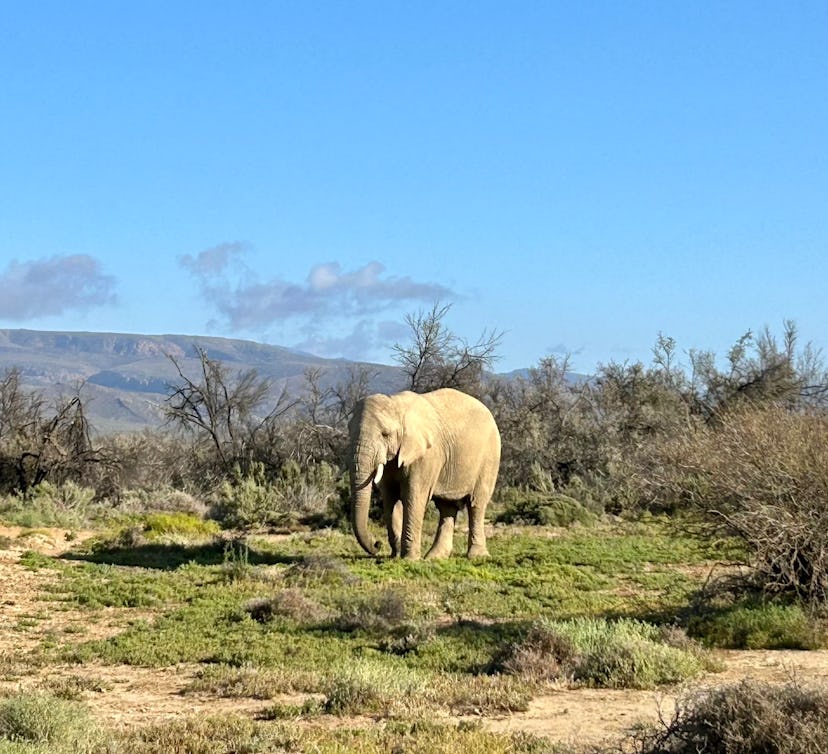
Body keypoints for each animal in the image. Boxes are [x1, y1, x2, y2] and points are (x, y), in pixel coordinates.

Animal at [348, 387, 501, 560]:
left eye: (385, 434)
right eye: (349, 431)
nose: (377, 545)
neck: (396, 403)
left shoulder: (426, 455)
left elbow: (413, 496)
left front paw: (409, 559)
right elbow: (390, 497)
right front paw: (396, 556)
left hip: (489, 457)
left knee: (476, 504)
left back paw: (477, 556)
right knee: (447, 507)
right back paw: (435, 557)